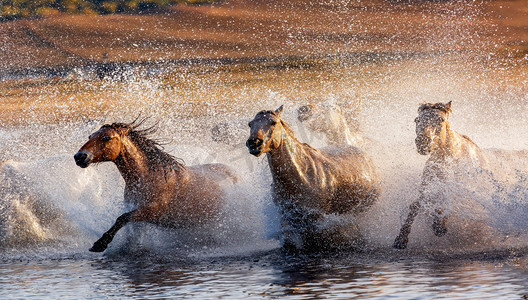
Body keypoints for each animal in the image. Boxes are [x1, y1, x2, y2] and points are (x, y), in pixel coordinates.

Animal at [74, 120, 239, 252]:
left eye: (106, 137)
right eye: (90, 136)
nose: (80, 156)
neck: (148, 177)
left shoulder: (154, 211)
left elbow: (122, 218)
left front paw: (99, 244)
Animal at [245, 106, 378, 252]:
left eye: (273, 122)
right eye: (250, 124)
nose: (254, 143)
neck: (301, 176)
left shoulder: (316, 219)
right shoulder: (286, 218)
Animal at [392, 102, 490, 250]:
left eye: (441, 120)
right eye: (417, 120)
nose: (423, 142)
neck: (447, 157)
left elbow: (447, 201)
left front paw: (440, 225)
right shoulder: (427, 184)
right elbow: (416, 204)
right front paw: (401, 239)